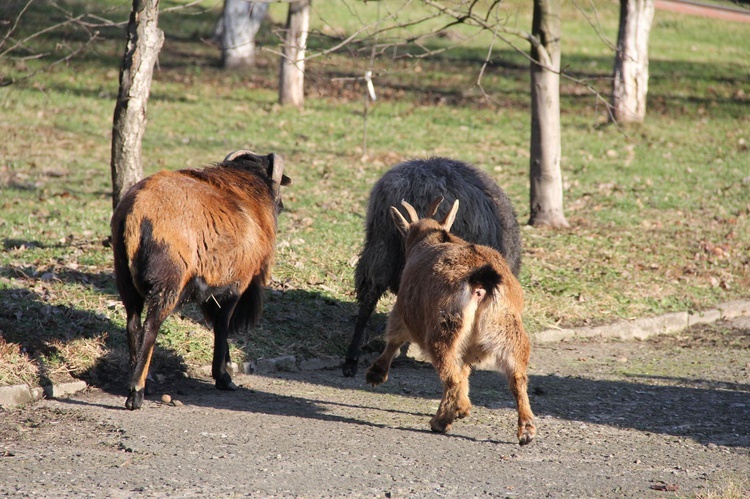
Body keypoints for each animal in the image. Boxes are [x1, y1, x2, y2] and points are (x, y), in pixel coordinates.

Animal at [113, 150, 292, 412]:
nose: (283, 206)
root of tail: (137, 212)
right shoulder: (235, 286)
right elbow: (222, 326)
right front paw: (224, 378)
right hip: (168, 281)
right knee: (150, 327)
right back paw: (136, 393)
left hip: (124, 279)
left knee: (132, 325)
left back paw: (142, 383)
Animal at [368, 198, 536, 446]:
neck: (432, 238)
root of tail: (480, 282)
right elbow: (465, 368)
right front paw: (463, 407)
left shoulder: (403, 311)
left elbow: (394, 339)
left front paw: (376, 374)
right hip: (506, 326)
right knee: (516, 377)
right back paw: (526, 430)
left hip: (444, 328)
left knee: (451, 376)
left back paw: (440, 421)